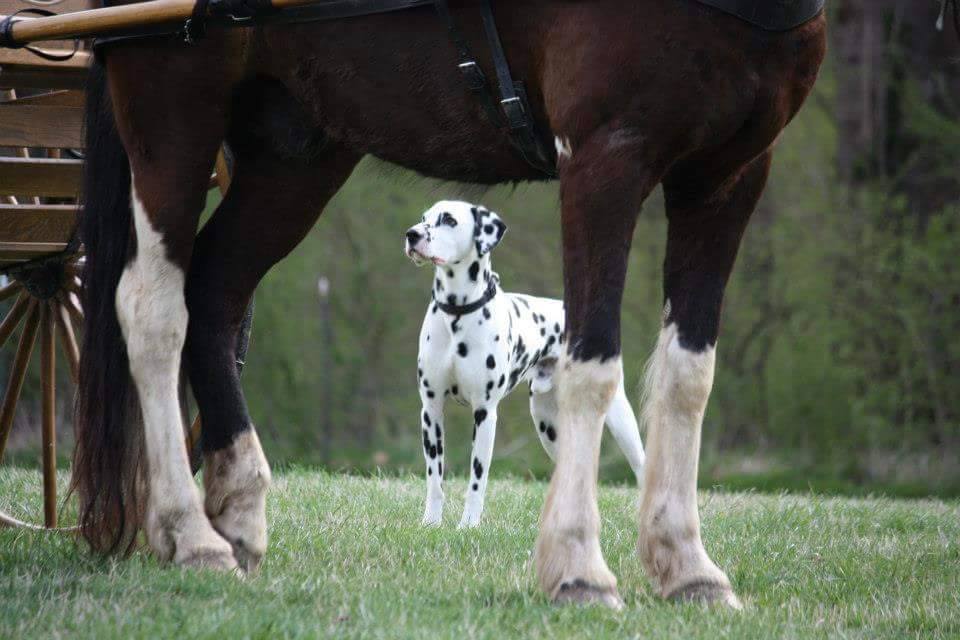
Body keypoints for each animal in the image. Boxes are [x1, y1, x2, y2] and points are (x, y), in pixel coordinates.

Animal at [404, 202, 644, 528]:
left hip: (620, 419)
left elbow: (477, 480)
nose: (412, 234)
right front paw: (431, 522)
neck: (458, 315)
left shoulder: (485, 414)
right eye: (424, 218)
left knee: (642, 466)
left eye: (449, 220)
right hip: (547, 424)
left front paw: (468, 525)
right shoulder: (431, 411)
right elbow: (434, 479)